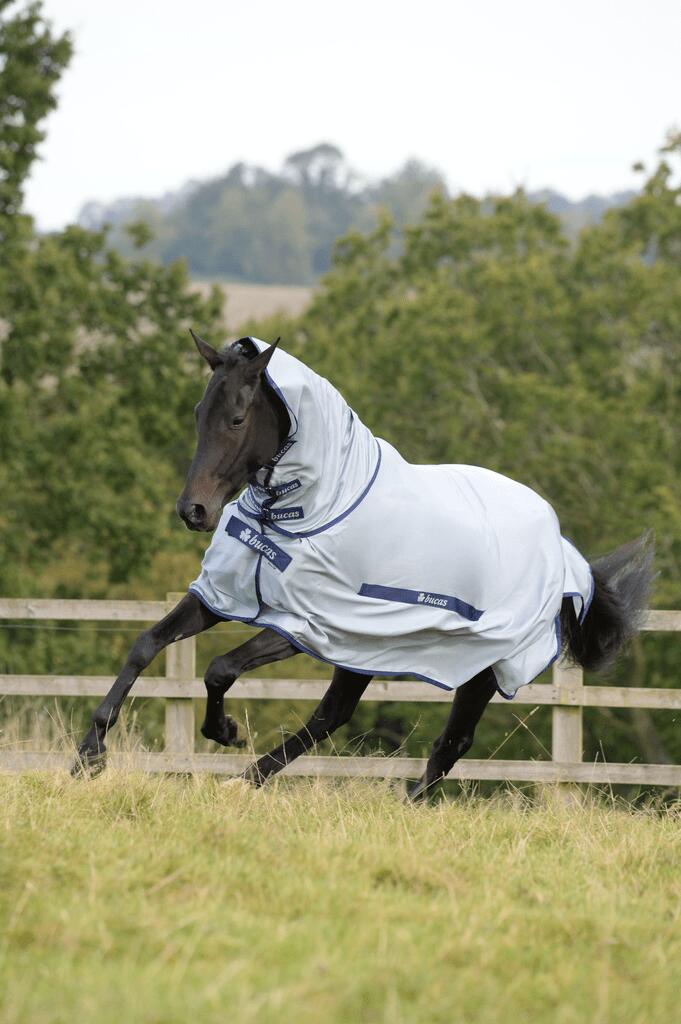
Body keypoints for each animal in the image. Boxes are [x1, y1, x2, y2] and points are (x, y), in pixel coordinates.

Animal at [73, 332, 654, 798]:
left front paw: (225, 731)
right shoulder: (226, 597)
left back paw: (397, 802)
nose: (193, 510)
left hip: (481, 665)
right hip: (367, 647)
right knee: (333, 716)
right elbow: (145, 643)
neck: (316, 505)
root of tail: (563, 550)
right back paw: (247, 782)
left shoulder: (303, 625)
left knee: (451, 740)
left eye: (236, 419)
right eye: (198, 412)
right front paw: (89, 756)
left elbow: (219, 669)